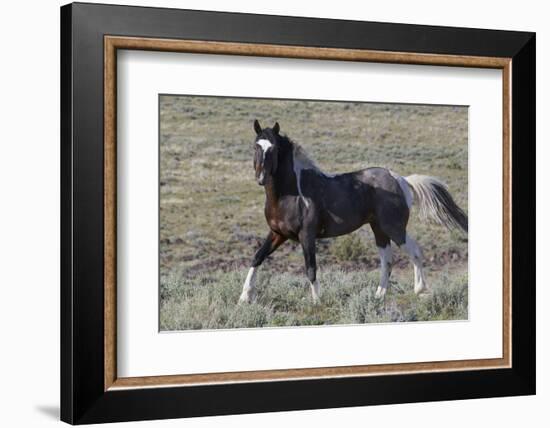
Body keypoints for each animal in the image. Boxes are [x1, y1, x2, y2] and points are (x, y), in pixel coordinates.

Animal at [239, 118, 468, 302]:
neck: (290, 194)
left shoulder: (307, 235)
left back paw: (419, 290)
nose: (261, 178)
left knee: (415, 252)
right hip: (379, 229)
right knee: (387, 261)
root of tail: (401, 179)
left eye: (274, 149)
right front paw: (244, 298)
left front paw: (317, 302)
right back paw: (378, 296)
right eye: (255, 146)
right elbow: (257, 257)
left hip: (394, 228)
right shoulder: (278, 233)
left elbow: (311, 268)